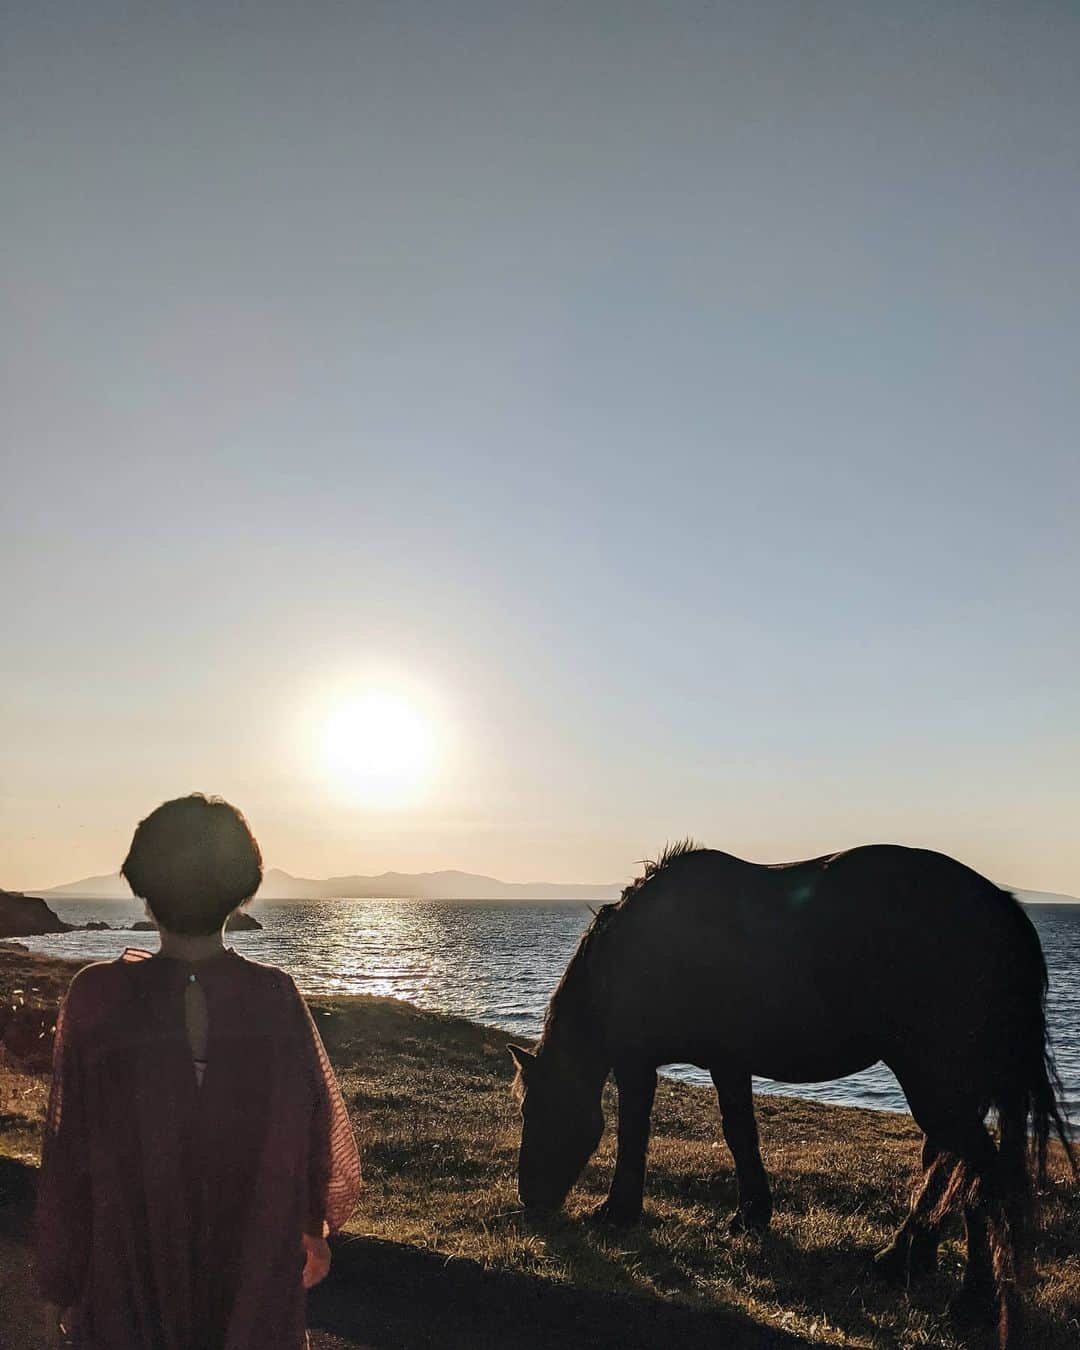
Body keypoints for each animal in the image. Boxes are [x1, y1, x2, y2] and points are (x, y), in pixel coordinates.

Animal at [507, 837, 1069, 1344]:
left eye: (536, 1111)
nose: (530, 1200)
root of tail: (1003, 910)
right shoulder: (728, 1063)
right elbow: (740, 1134)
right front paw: (751, 1215)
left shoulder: (637, 1063)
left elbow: (633, 1133)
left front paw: (618, 1212)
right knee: (948, 1168)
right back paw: (903, 1260)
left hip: (936, 1084)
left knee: (980, 1175)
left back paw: (969, 1298)